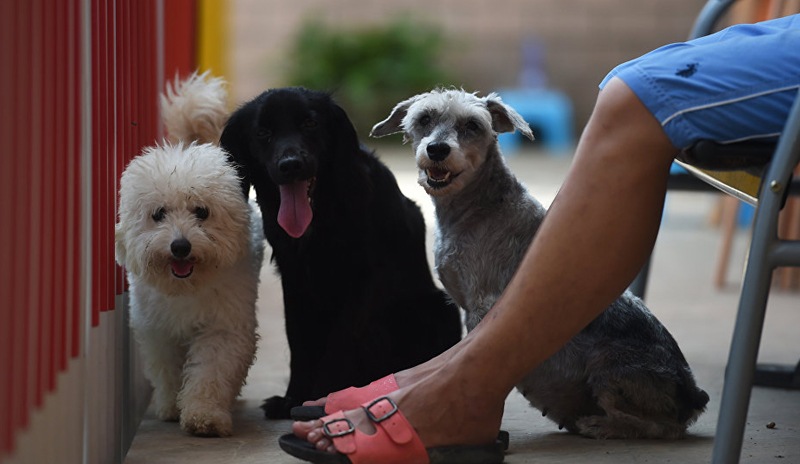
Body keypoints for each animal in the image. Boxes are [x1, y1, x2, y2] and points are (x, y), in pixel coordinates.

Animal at [115, 73, 266, 438]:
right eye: (158, 214)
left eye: (202, 212)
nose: (180, 246)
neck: (187, 286)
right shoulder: (158, 329)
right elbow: (166, 369)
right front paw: (171, 405)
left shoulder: (223, 326)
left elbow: (210, 370)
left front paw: (205, 415)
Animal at [220, 88, 462, 420]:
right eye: (262, 133)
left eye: (310, 123)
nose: (291, 164)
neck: (324, 210)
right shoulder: (294, 278)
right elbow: (298, 341)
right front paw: (292, 399)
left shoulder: (364, 279)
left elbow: (340, 341)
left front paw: (321, 398)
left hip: (441, 308)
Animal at [372, 88, 708, 438]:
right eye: (424, 119)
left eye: (472, 125)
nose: (437, 149)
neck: (477, 207)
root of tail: (693, 393)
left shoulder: (483, 306)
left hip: (608, 370)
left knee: (661, 427)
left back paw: (597, 424)